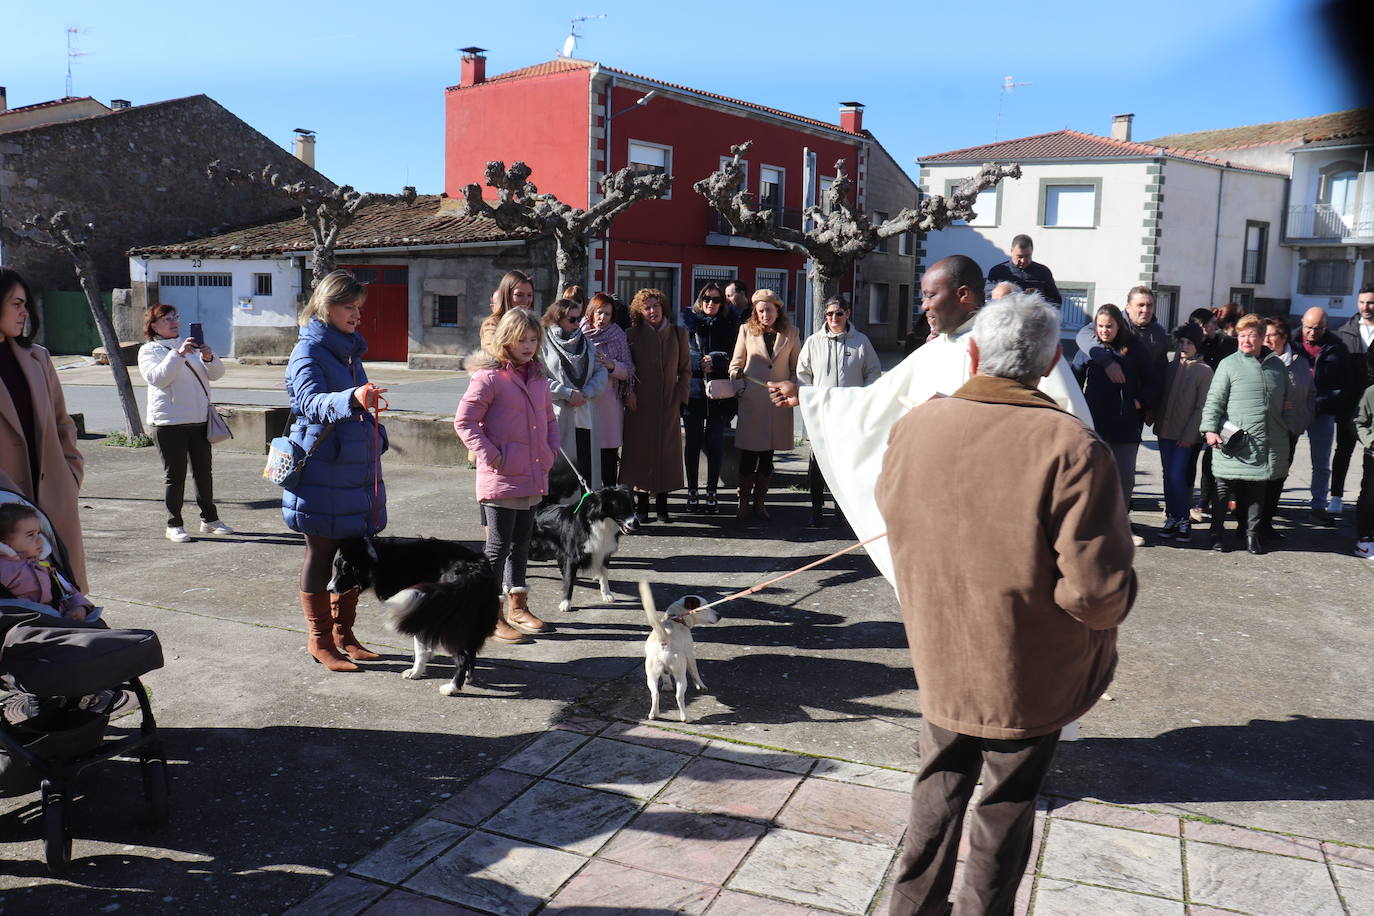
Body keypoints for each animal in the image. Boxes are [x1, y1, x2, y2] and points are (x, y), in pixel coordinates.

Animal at [329, 538, 502, 694]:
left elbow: (420, 648)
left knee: (462, 658)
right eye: (337, 568)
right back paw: (467, 677)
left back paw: (452, 688)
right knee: (471, 651)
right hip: (475, 622)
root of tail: (475, 572)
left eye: (345, 570)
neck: (378, 561)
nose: (329, 589)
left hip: (450, 624)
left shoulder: (420, 610)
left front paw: (415, 672)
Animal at [533, 483, 645, 612]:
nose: (638, 524)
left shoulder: (604, 553)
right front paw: (565, 603)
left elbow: (604, 575)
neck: (601, 523)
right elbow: (569, 580)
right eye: (622, 507)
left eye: (634, 506)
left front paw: (607, 594)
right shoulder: (572, 556)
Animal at [640, 579, 725, 725]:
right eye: (705, 607)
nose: (719, 616)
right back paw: (686, 718)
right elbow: (695, 673)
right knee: (679, 697)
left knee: (655, 694)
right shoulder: (690, 655)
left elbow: (665, 677)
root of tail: (664, 640)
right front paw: (701, 686)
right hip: (680, 675)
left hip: (650, 676)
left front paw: (667, 685)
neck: (676, 619)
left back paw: (654, 714)